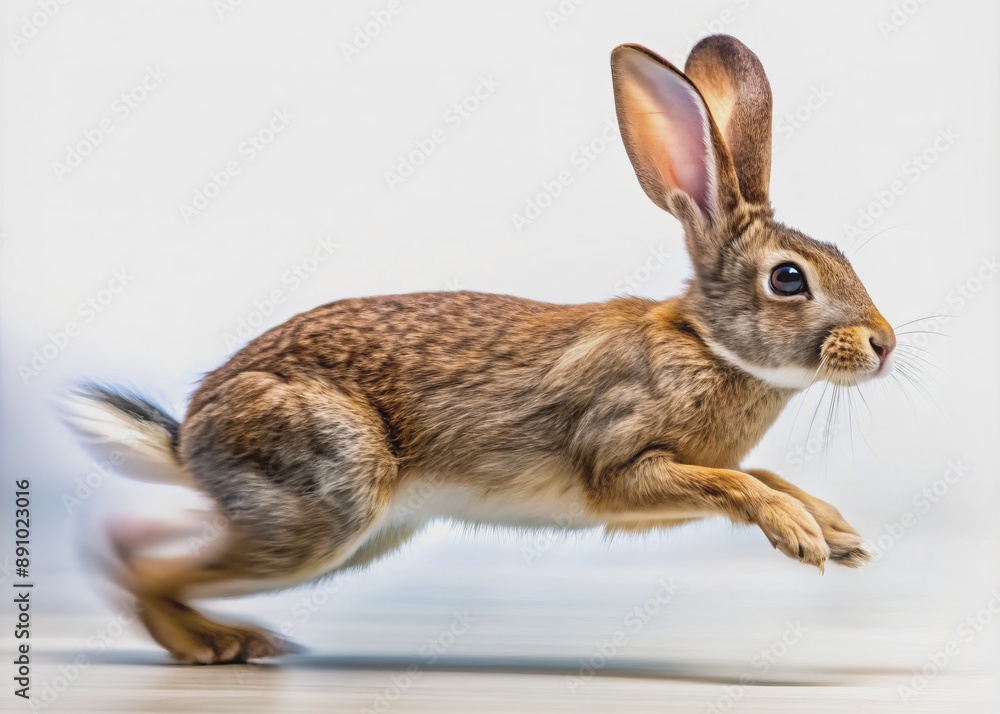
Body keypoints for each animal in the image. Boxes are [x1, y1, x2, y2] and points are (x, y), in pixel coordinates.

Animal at [66, 34, 895, 664]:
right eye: (788, 278)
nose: (884, 345)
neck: (710, 345)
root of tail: (192, 434)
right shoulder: (621, 465)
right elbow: (734, 484)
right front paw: (801, 537)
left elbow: (760, 474)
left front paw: (838, 535)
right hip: (325, 503)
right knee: (151, 568)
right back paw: (211, 648)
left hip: (348, 535)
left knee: (152, 543)